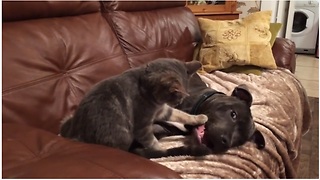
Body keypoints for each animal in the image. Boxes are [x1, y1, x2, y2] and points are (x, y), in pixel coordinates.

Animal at [59, 58, 208, 158]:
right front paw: (159, 150)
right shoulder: (142, 125)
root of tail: (74, 135)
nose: (179, 102)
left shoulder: (162, 110)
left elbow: (181, 114)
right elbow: (152, 142)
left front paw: (199, 117)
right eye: (177, 97)